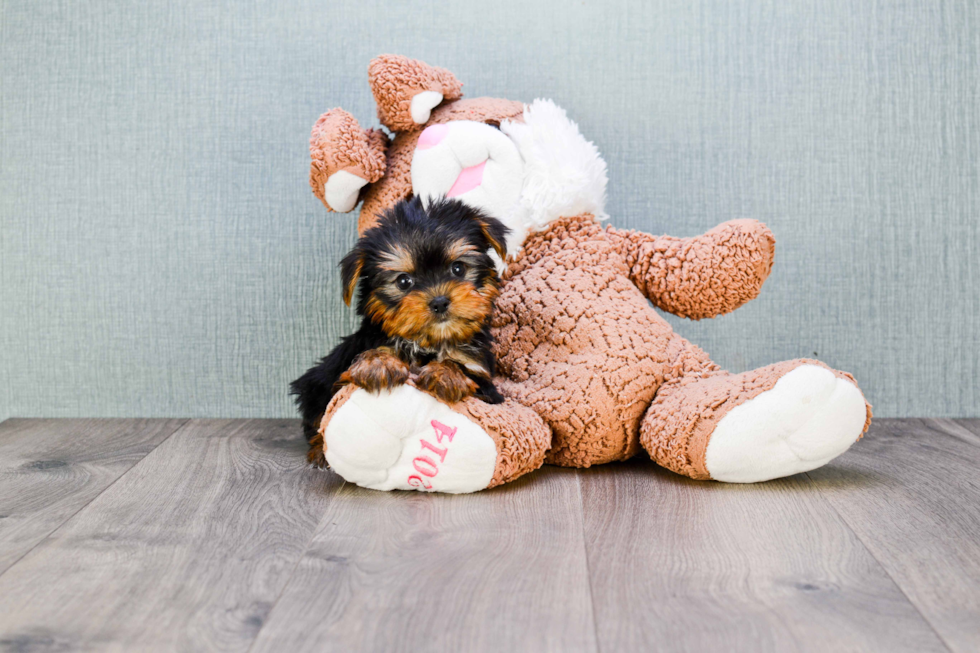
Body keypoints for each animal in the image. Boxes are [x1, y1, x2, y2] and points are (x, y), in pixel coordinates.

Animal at [290, 196, 506, 466]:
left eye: (458, 269)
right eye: (404, 281)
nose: (439, 301)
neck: (427, 341)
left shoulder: (486, 384)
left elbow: (464, 368)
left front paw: (446, 373)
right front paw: (378, 364)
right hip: (316, 383)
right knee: (319, 418)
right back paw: (320, 450)